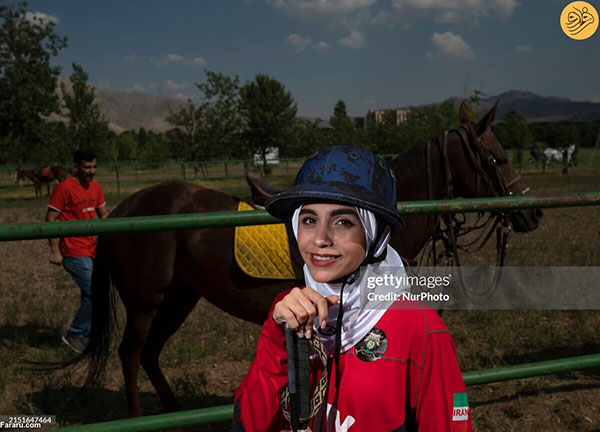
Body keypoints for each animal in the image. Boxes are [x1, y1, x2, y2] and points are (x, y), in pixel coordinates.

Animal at [78, 102, 540, 418]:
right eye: (497, 158)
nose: (531, 212)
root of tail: (122, 210)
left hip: (179, 298)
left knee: (151, 353)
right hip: (146, 302)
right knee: (132, 353)